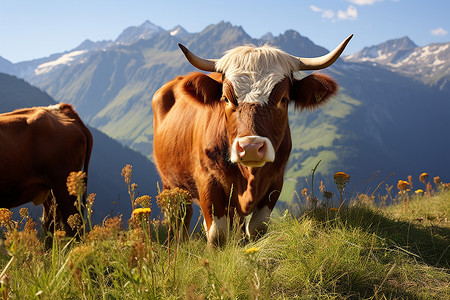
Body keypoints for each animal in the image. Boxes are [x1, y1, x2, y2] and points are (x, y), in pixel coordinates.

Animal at [153, 35, 354, 246]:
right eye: (226, 98)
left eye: (283, 99)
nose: (250, 147)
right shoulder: (207, 179)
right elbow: (218, 234)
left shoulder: (276, 179)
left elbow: (257, 228)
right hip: (170, 184)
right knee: (179, 216)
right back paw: (177, 244)